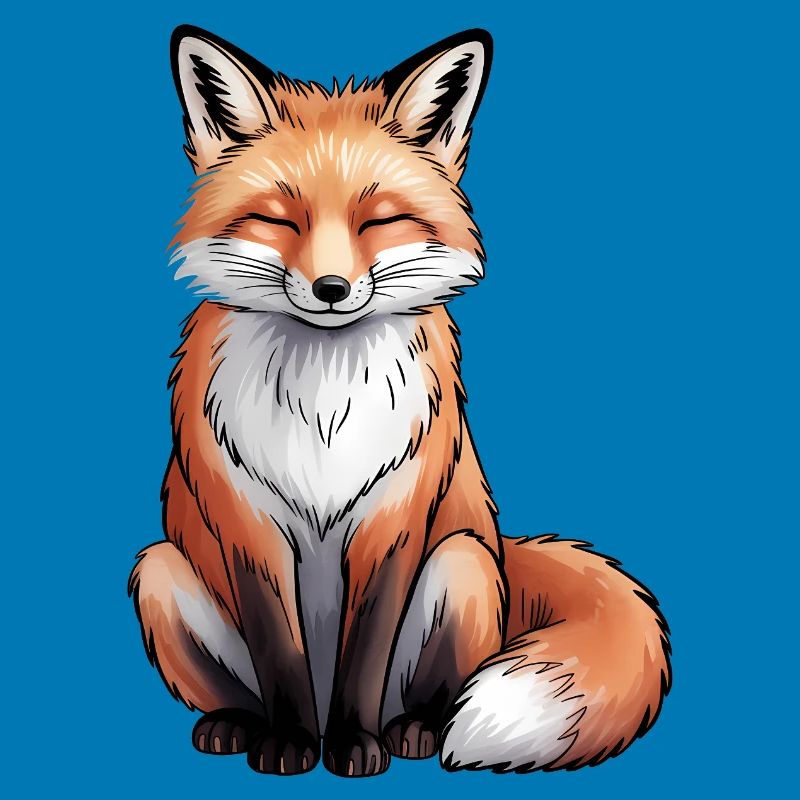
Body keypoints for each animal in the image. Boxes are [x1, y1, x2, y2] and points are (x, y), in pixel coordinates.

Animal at [129, 25, 671, 778]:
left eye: (378, 221)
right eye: (277, 219)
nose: (330, 288)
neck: (323, 410)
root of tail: (504, 547)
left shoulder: (393, 519)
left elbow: (366, 651)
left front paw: (354, 746)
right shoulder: (248, 526)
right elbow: (279, 649)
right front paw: (291, 745)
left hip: (464, 563)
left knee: (430, 696)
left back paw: (410, 732)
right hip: (157, 569)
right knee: (239, 687)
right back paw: (238, 725)